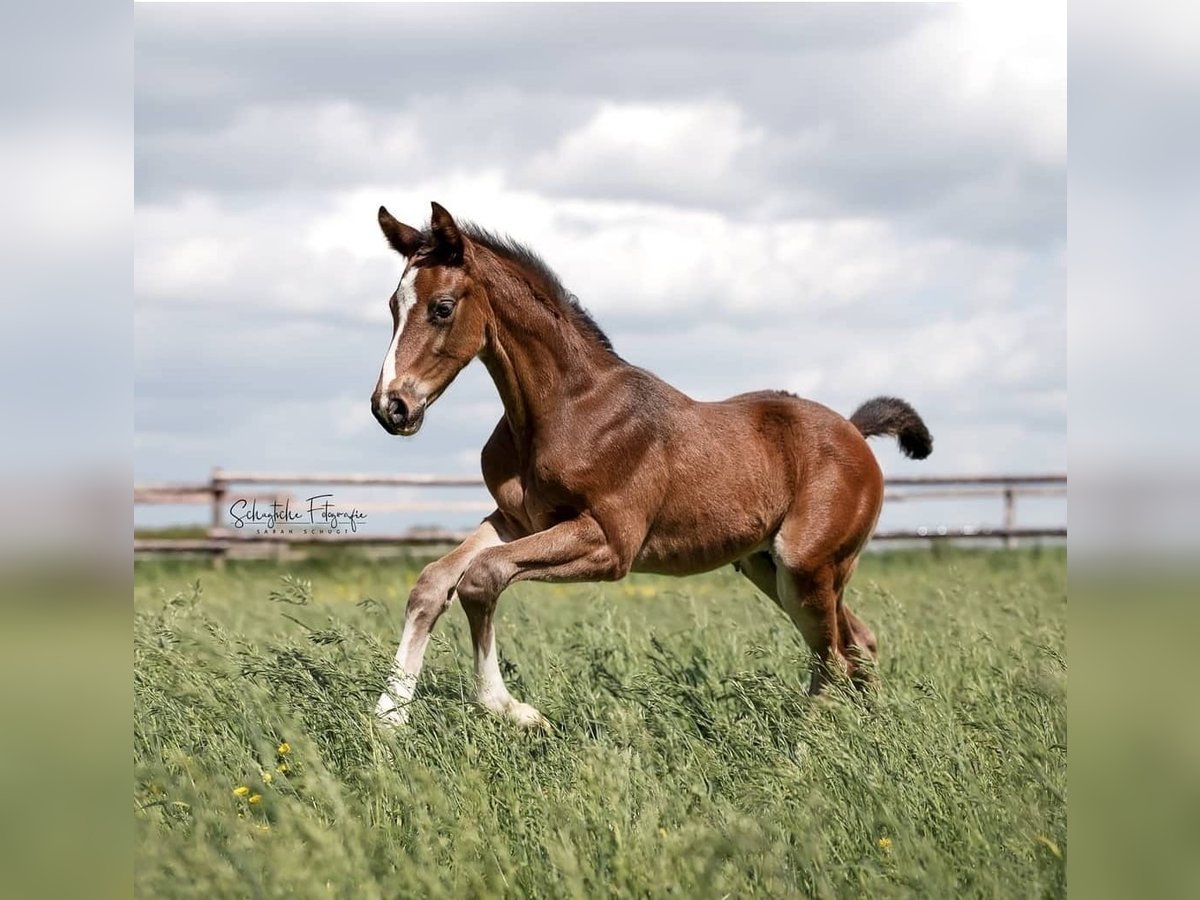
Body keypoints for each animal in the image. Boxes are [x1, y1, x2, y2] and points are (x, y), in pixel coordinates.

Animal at [369, 200, 931, 729]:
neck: (566, 408)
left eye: (442, 308)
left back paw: (806, 743)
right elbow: (433, 582)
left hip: (806, 566)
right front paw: (388, 715)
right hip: (769, 566)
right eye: (393, 305)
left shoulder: (611, 541)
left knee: (832, 656)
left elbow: (482, 577)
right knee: (856, 643)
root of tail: (854, 431)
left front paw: (515, 711)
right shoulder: (516, 520)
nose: (390, 407)